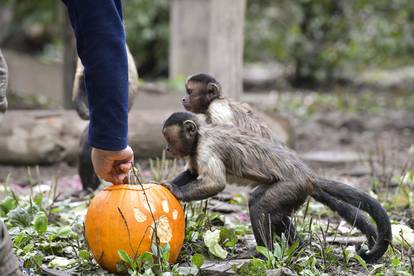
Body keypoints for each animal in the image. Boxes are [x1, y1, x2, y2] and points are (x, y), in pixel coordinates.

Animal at [161, 112, 392, 264]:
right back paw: (297, 247)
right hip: (295, 192)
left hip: (293, 186)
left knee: (261, 208)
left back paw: (265, 252)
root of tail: (307, 175)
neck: (201, 135)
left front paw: (175, 191)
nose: (167, 149)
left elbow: (215, 182)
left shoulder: (206, 147)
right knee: (267, 207)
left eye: (169, 139)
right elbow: (193, 173)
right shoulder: (194, 151)